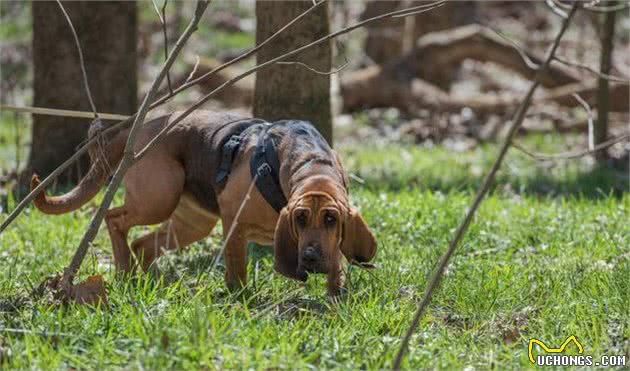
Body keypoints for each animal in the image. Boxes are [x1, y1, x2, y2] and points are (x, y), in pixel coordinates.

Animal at [32, 110, 378, 296]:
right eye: (300, 219)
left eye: (331, 220)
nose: (310, 257)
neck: (309, 163)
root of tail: (146, 126)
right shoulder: (234, 225)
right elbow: (237, 270)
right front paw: (240, 298)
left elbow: (337, 266)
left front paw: (335, 294)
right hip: (158, 199)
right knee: (114, 219)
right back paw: (125, 271)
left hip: (193, 223)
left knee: (144, 243)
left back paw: (151, 281)